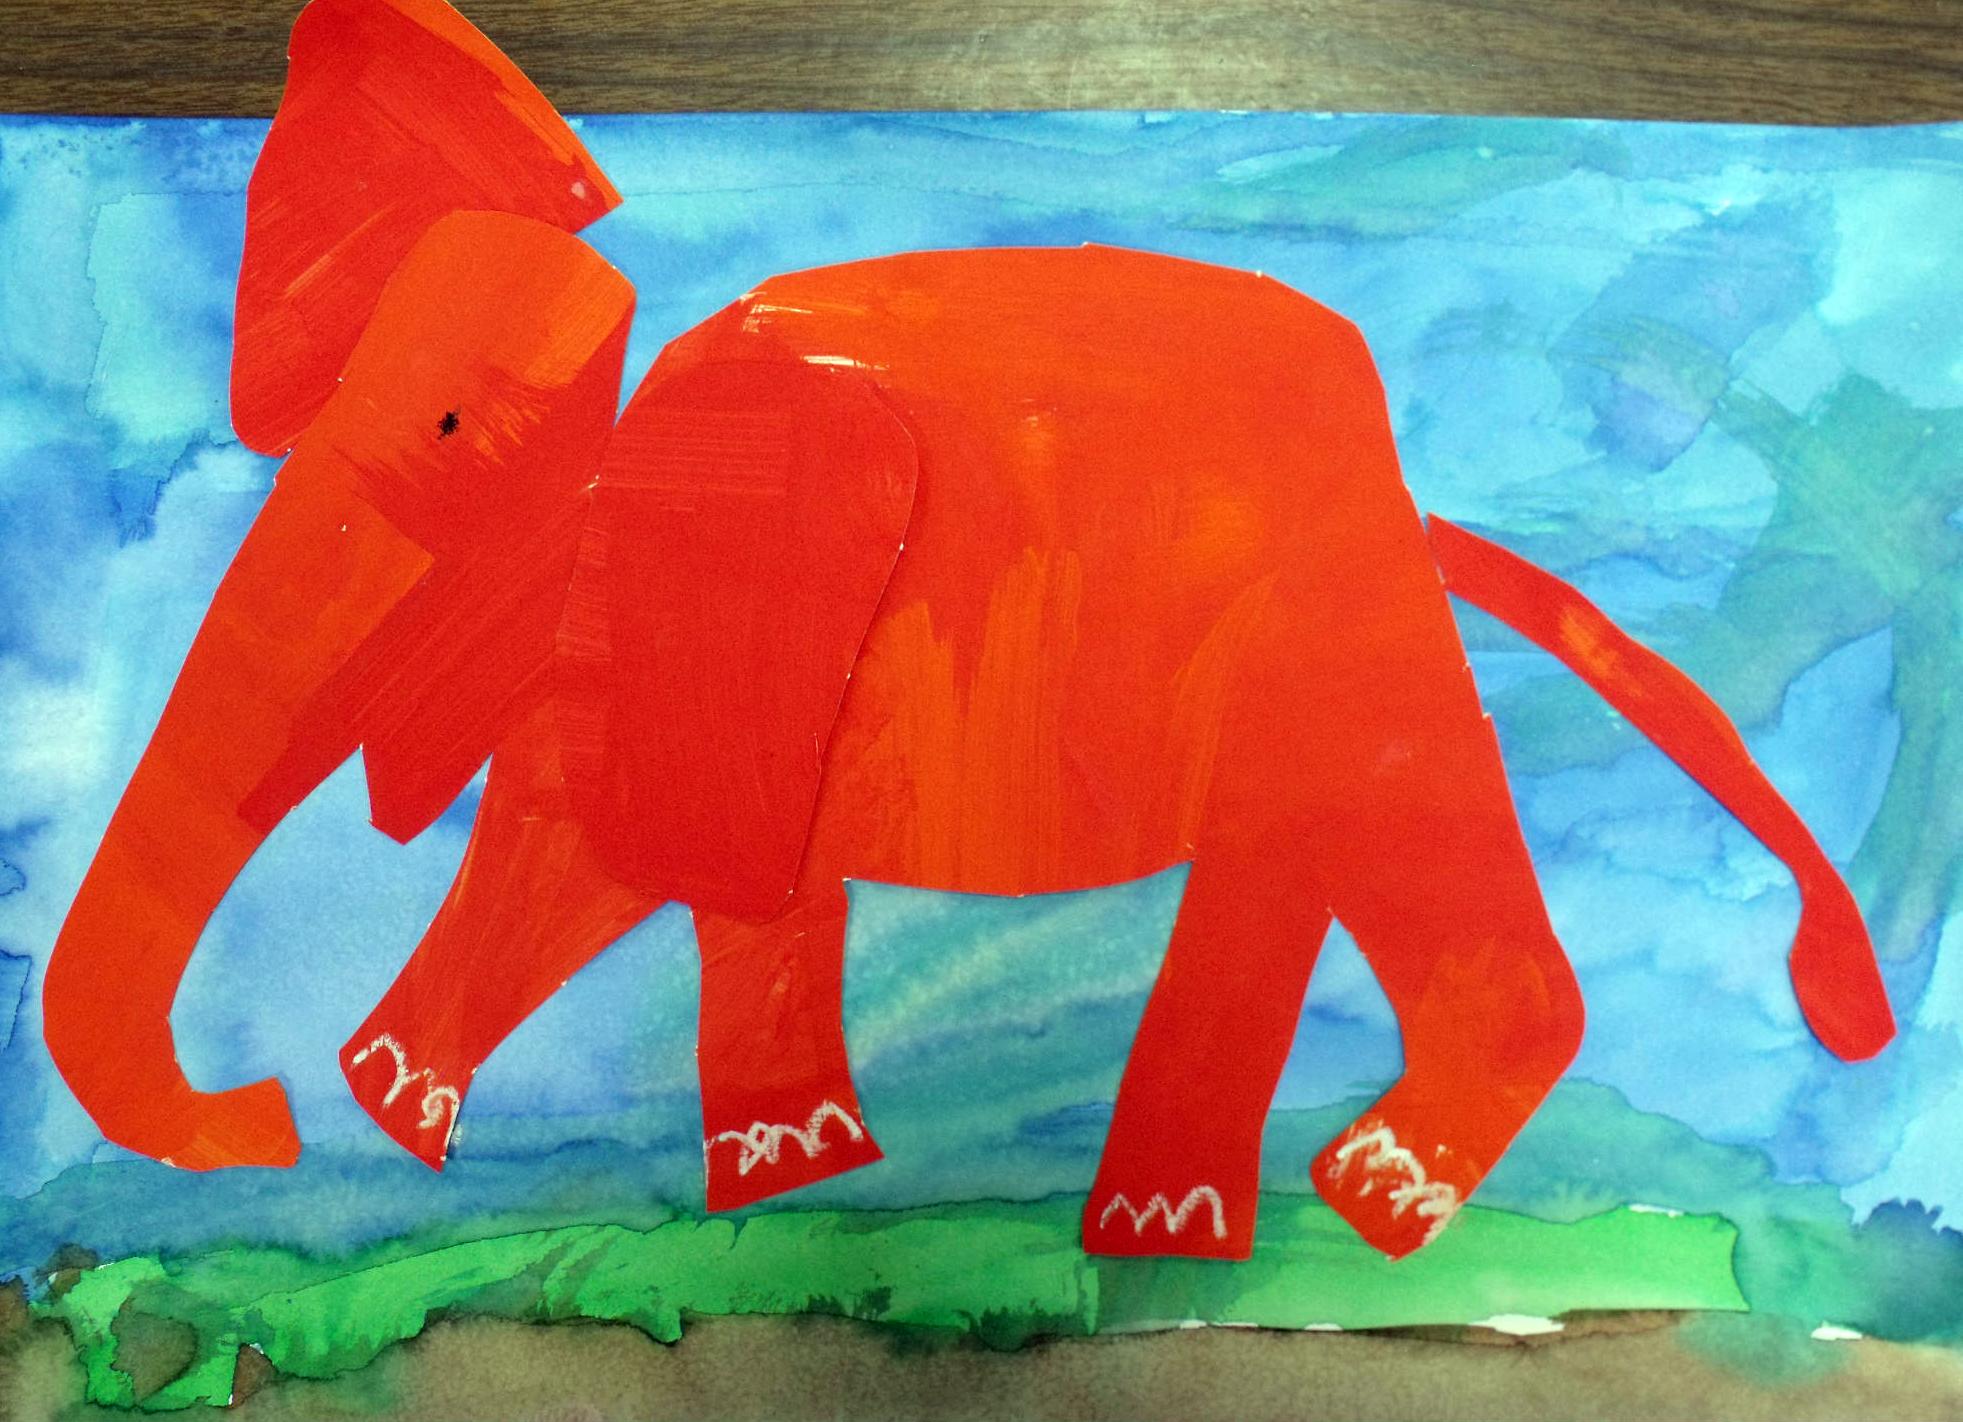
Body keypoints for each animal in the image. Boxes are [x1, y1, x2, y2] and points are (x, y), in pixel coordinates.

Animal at [41, 0, 1895, 1265]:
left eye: (442, 429)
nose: (252, 1117)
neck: (664, 402)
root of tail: (1413, 504)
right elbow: (586, 858)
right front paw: (424, 1116)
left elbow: (653, 866)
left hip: (1324, 629)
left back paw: (1301, 1213)